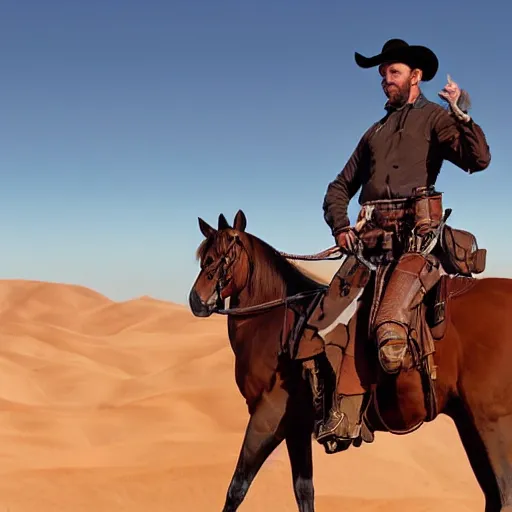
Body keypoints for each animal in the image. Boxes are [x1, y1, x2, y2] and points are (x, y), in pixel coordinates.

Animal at [190, 209, 512, 512]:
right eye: (204, 258)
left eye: (224, 256)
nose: (196, 300)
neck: (271, 322)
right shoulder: (296, 425)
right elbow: (304, 492)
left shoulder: (267, 415)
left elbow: (236, 488)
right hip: (469, 423)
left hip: (493, 422)